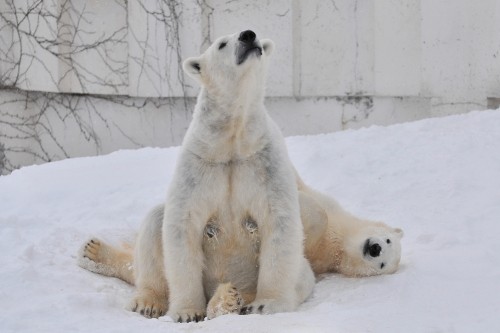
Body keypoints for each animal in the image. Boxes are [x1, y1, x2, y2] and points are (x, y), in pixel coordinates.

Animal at [79, 30, 406, 322]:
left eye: (256, 36)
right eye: (222, 43)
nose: (248, 36)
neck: (232, 143)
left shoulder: (264, 164)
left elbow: (280, 222)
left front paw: (266, 305)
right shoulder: (199, 164)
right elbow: (181, 225)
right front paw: (186, 312)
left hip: (276, 274)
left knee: (295, 275)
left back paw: (228, 300)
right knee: (154, 225)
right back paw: (146, 298)